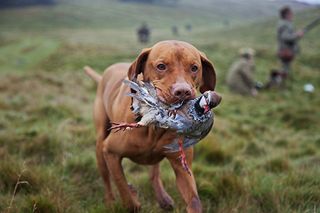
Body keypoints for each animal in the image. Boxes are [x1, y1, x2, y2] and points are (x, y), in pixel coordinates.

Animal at [85, 40, 216, 213]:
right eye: (161, 66)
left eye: (194, 68)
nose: (183, 92)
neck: (155, 128)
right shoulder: (111, 152)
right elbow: (125, 194)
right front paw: (131, 196)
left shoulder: (182, 168)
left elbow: (194, 201)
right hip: (101, 144)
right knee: (106, 177)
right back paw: (110, 200)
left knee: (153, 173)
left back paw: (162, 197)